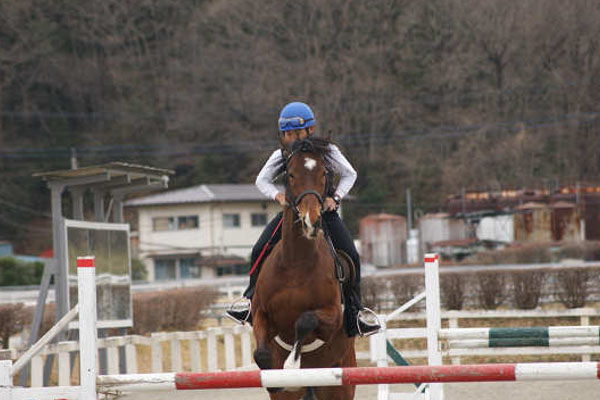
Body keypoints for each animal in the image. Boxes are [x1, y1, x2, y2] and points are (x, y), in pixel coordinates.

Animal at [252, 138, 356, 400]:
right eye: (290, 174)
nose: (312, 220)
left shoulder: (332, 316)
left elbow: (304, 320)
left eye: (324, 173)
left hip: (339, 385)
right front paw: (275, 376)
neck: (295, 263)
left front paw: (291, 365)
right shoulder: (261, 312)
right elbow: (261, 353)